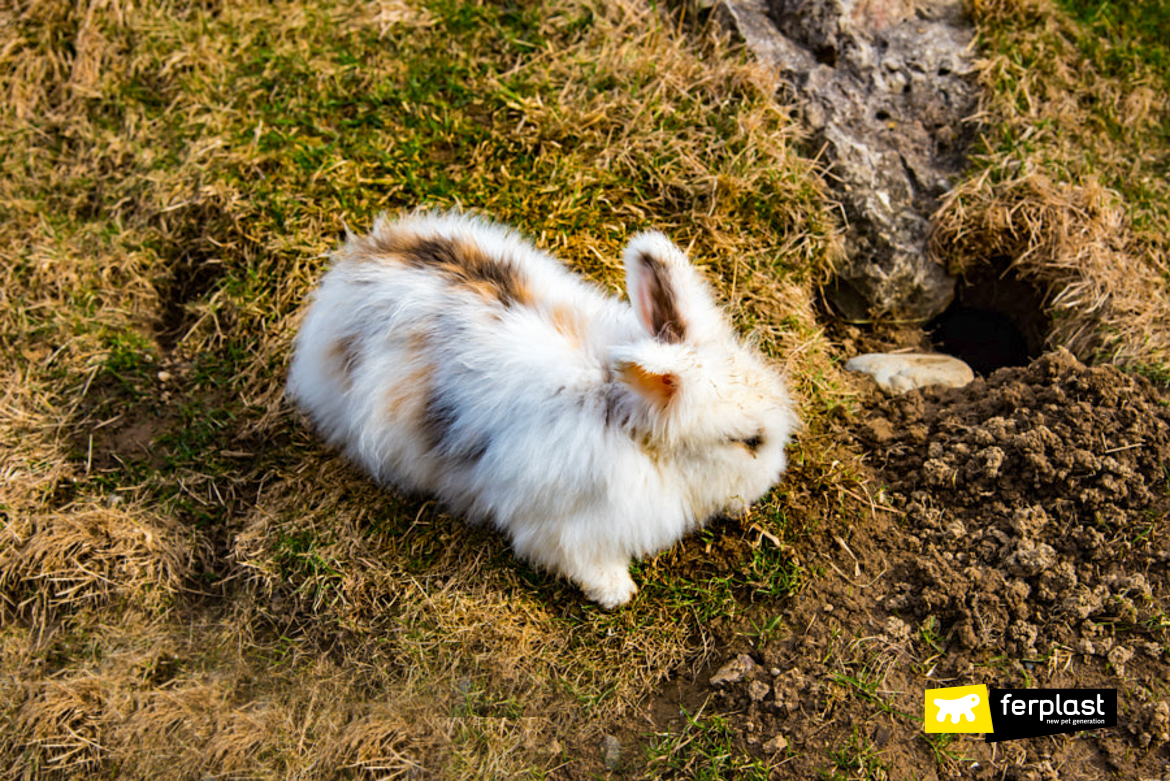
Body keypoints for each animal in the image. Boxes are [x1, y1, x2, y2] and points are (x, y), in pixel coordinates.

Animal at [285, 210, 795, 607]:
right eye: (747, 441)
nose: (771, 481)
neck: (621, 416)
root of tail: (348, 272)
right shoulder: (565, 529)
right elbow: (582, 560)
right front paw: (617, 592)